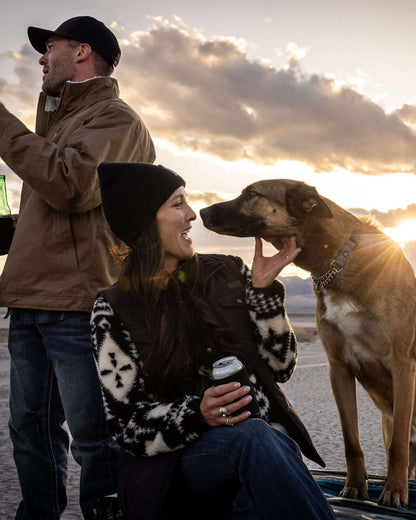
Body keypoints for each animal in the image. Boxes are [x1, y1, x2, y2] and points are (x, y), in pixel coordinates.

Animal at [201, 180, 416, 508]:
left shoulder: (402, 364)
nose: (201, 212)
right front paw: (355, 486)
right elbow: (351, 440)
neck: (337, 259)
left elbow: (398, 446)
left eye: (251, 194)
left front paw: (393, 491)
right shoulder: (339, 367)